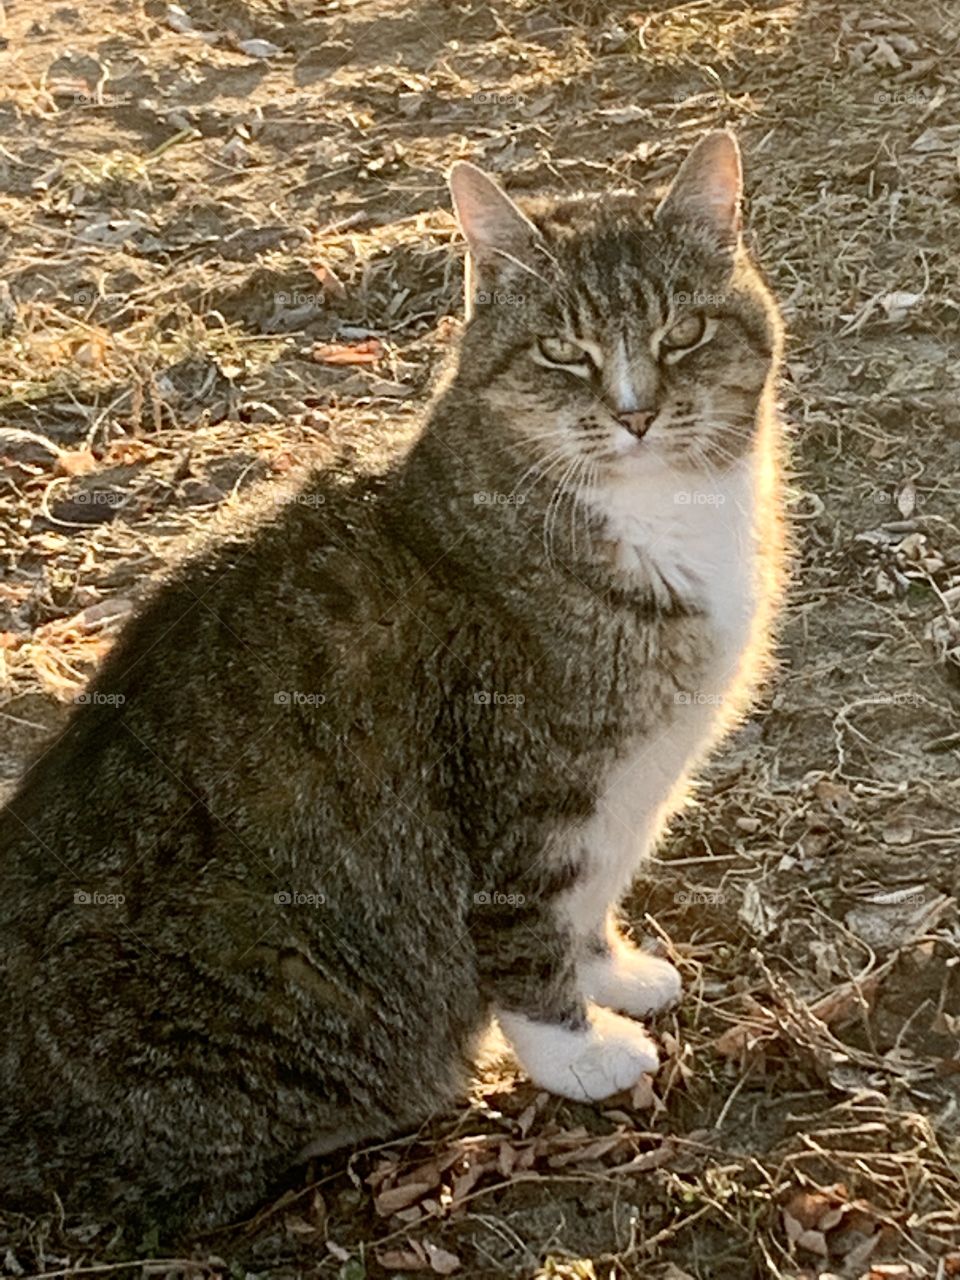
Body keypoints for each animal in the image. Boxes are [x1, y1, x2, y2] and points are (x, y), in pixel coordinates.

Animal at [0, 129, 783, 1239]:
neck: (656, 516)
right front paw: (579, 1052)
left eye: (682, 333)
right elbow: (526, 935)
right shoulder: (525, 793)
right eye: (562, 351)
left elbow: (585, 908)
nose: (634, 413)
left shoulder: (621, 796)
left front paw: (615, 974)